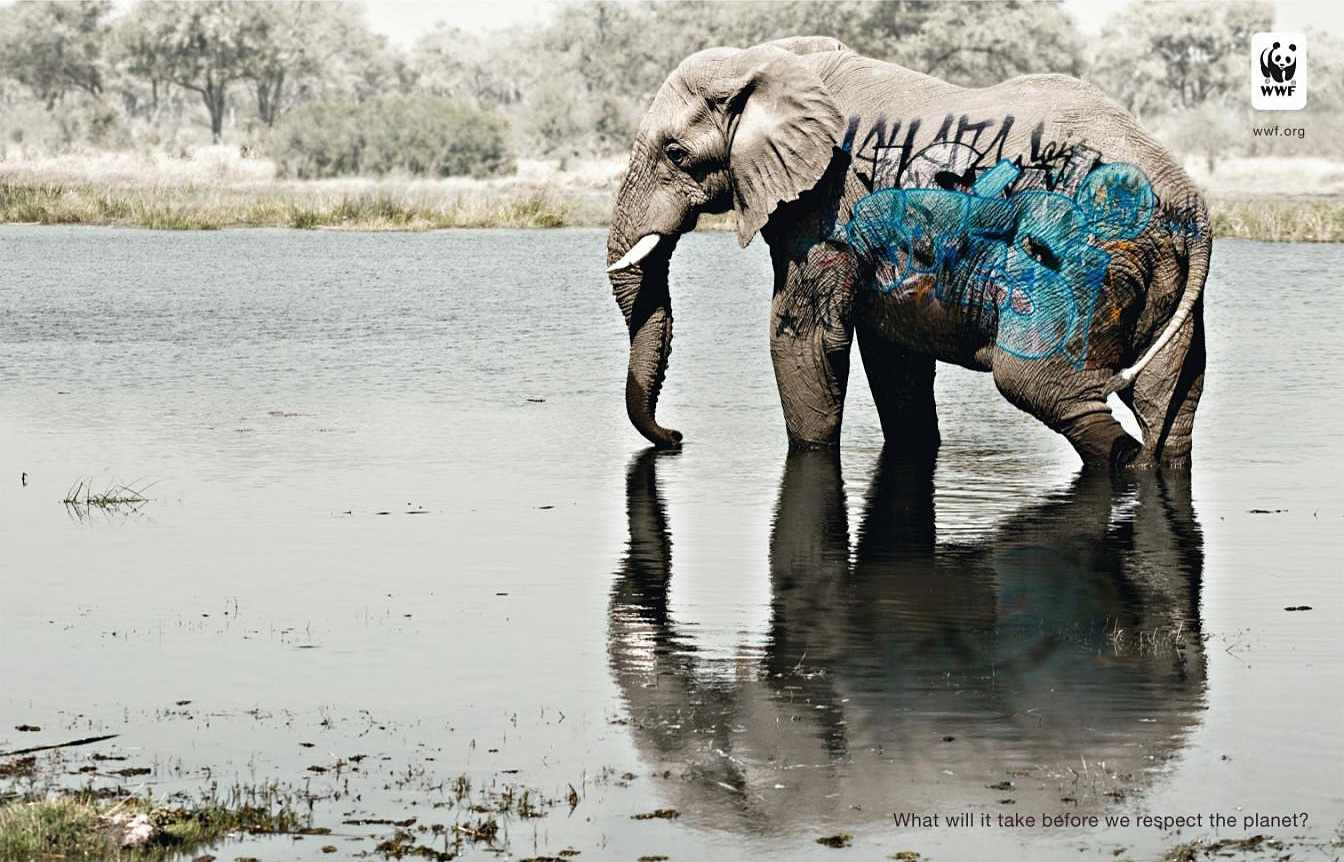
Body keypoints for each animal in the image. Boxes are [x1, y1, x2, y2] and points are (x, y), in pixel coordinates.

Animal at [606, 36, 1209, 471]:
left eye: (676, 154)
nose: (676, 438)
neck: (767, 59)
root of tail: (1189, 201)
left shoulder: (828, 203)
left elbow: (800, 339)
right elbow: (894, 353)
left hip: (1080, 259)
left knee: (1040, 386)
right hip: (1159, 273)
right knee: (1168, 407)